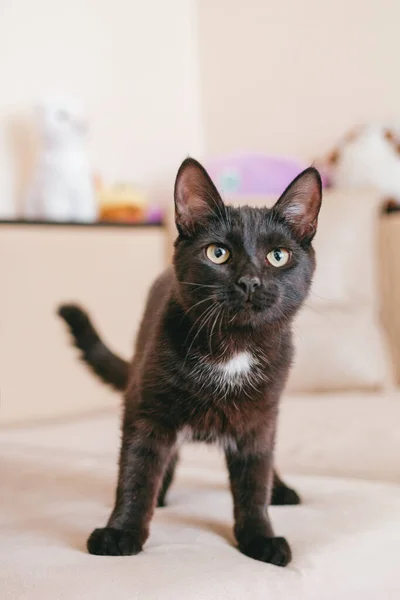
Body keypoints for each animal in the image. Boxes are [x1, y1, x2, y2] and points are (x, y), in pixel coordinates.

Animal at [58, 157, 322, 564]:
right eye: (218, 253)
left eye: (278, 256)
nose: (250, 281)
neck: (233, 347)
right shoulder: (147, 409)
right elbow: (136, 472)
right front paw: (122, 531)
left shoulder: (259, 416)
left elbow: (254, 480)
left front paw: (259, 538)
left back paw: (279, 489)